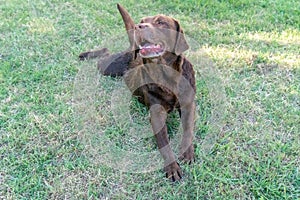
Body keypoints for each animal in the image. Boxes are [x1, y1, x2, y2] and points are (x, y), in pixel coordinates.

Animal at [79, 3, 197, 181]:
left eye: (161, 22)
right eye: (141, 21)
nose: (138, 27)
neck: (167, 78)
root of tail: (131, 47)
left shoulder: (188, 105)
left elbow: (188, 130)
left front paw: (187, 152)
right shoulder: (156, 114)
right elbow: (164, 142)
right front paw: (172, 166)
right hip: (108, 67)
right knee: (105, 53)